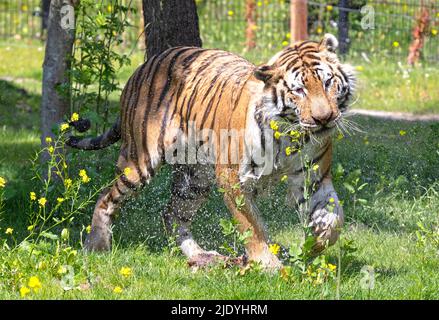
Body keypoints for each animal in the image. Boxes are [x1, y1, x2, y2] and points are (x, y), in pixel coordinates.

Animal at [69, 33, 358, 268]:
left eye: (328, 82)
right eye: (299, 90)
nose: (324, 118)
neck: (290, 134)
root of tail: (143, 66)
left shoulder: (314, 176)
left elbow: (334, 218)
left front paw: (312, 245)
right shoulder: (232, 177)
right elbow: (251, 225)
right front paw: (269, 264)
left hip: (196, 179)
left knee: (172, 214)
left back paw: (199, 255)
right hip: (140, 161)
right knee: (106, 197)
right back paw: (96, 245)